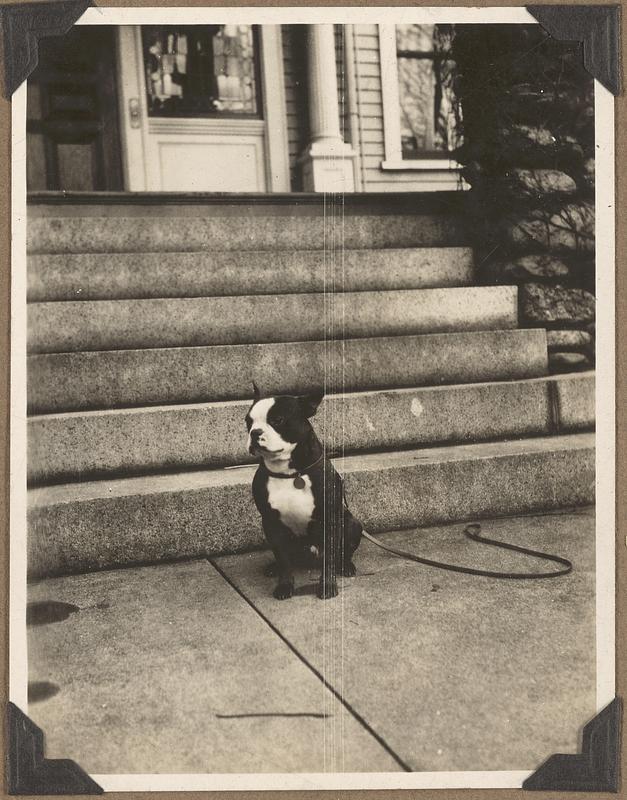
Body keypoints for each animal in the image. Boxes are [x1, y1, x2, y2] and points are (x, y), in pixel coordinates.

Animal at [245, 386, 364, 600]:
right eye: (247, 422)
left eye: (278, 420)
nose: (255, 432)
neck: (291, 473)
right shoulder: (271, 523)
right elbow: (283, 559)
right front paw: (284, 586)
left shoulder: (329, 520)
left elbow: (329, 561)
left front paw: (327, 587)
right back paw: (273, 567)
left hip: (352, 524)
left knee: (342, 553)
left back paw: (346, 566)